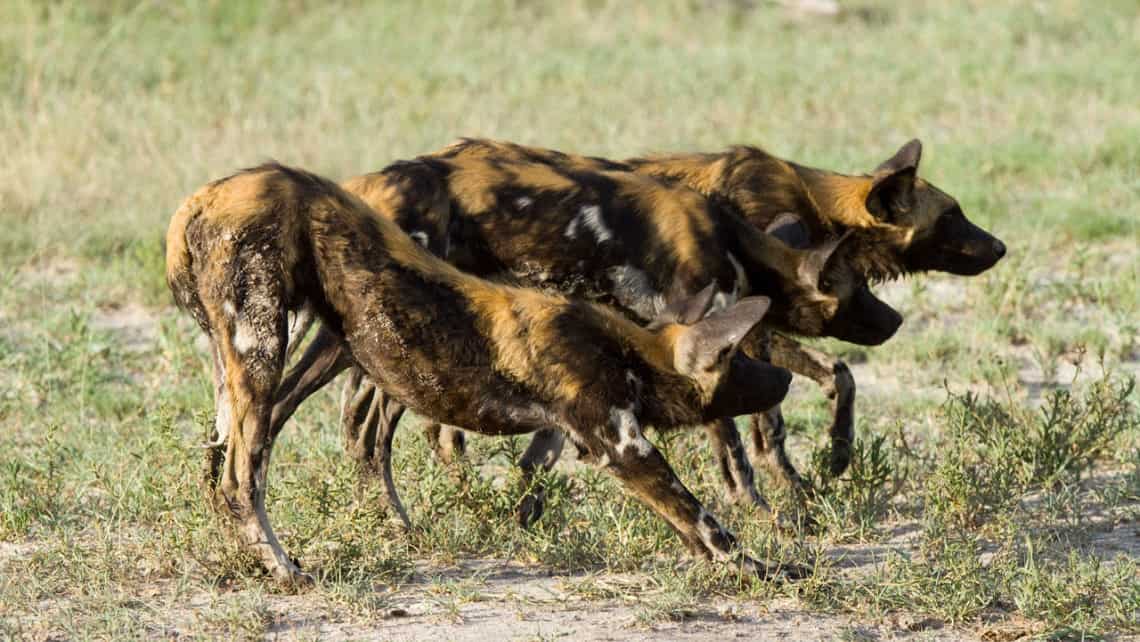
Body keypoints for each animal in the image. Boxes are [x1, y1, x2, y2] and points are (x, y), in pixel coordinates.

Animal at [166, 163, 802, 583]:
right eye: (740, 358)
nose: (785, 380)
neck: (626, 350)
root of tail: (197, 201)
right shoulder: (624, 447)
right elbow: (706, 522)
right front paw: (765, 568)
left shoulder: (576, 435)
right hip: (265, 348)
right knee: (242, 477)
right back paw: (283, 568)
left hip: (297, 350)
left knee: (229, 463)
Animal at [266, 148, 898, 529]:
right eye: (860, 288)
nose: (894, 320)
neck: (732, 240)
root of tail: (367, 182)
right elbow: (737, 450)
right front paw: (763, 509)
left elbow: (544, 450)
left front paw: (525, 512)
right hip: (376, 342)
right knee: (332, 422)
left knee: (327, 420)